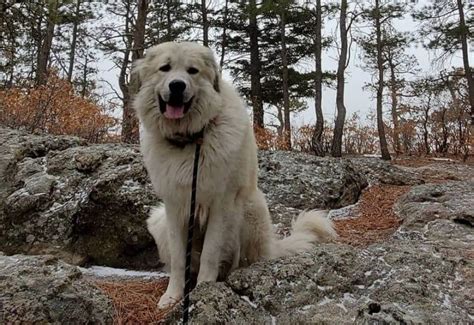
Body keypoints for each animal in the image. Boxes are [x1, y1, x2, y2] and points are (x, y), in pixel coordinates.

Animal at [131, 41, 336, 306]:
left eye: (192, 71)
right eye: (164, 68)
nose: (177, 85)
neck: (191, 139)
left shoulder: (221, 204)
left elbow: (210, 254)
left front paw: (204, 290)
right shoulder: (175, 207)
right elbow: (178, 259)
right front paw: (173, 296)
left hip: (247, 209)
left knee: (242, 260)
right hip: (158, 220)